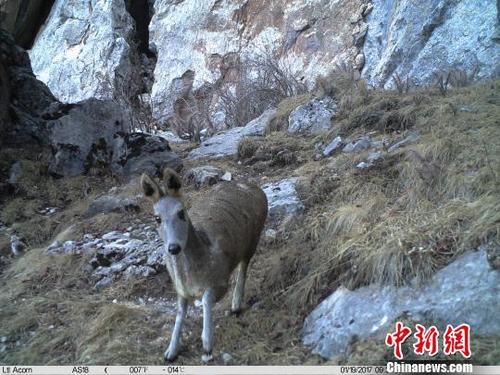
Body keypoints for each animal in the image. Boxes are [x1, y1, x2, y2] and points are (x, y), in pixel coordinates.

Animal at [142, 169, 266, 362]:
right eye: (157, 218)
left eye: (181, 212)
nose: (173, 248)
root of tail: (255, 187)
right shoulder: (179, 289)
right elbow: (180, 313)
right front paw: (170, 351)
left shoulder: (220, 278)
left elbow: (207, 299)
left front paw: (207, 344)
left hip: (254, 238)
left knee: (244, 266)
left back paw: (236, 304)